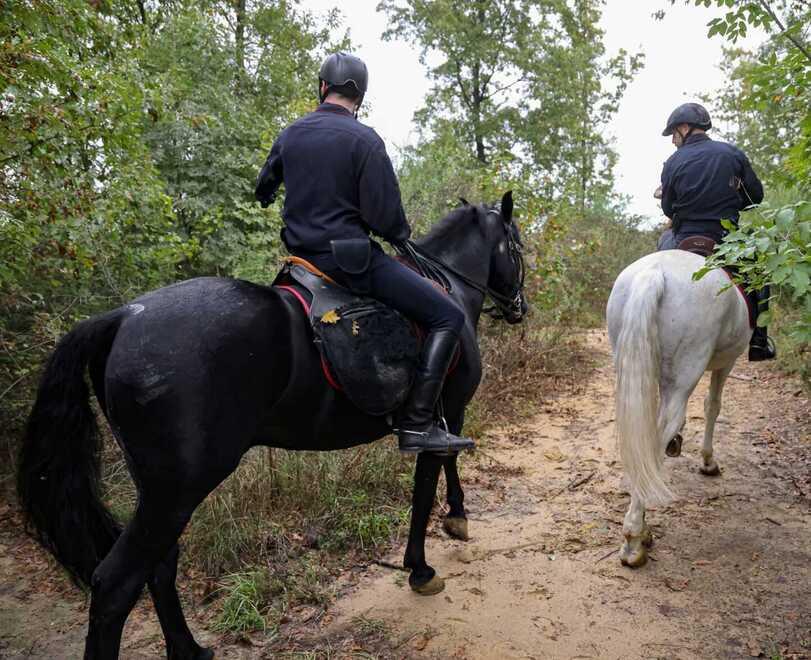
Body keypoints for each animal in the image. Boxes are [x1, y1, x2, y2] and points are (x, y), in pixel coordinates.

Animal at [16, 191, 526, 660]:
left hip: (159, 493)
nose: (519, 306)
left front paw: (453, 521)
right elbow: (428, 483)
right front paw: (426, 560)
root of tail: (121, 317)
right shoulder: (446, 414)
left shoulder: (447, 415)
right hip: (176, 492)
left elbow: (443, 468)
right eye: (517, 245)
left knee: (158, 566)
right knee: (115, 584)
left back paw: (190, 650)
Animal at [606, 248, 751, 567]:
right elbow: (713, 405)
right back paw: (635, 539)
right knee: (663, 429)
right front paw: (708, 462)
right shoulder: (726, 363)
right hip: (688, 368)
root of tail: (654, 272)